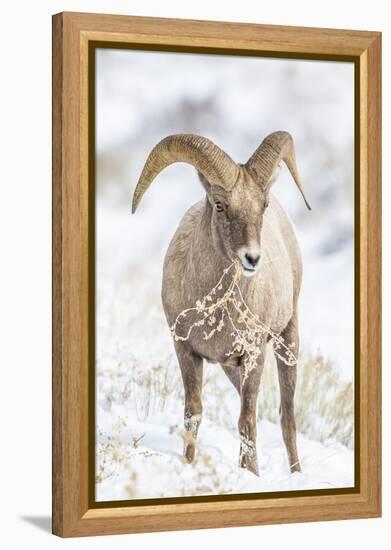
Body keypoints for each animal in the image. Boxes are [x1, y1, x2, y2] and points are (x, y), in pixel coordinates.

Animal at [133, 132, 310, 476]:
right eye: (219, 205)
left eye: (263, 205)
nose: (252, 258)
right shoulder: (186, 351)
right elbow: (193, 414)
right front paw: (188, 465)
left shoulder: (253, 355)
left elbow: (247, 421)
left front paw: (250, 474)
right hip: (232, 367)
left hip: (287, 339)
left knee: (287, 416)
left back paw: (296, 475)